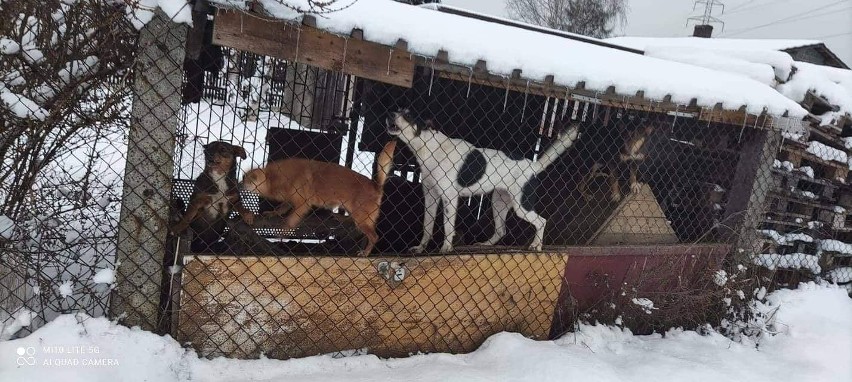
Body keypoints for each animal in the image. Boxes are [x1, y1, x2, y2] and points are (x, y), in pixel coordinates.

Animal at [241, 140, 398, 256]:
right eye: (243, 177)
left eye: (247, 180)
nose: (238, 185)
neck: (274, 177)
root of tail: (376, 185)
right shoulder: (289, 201)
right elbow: (281, 208)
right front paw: (273, 213)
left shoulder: (302, 204)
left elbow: (291, 219)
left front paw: (285, 230)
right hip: (355, 212)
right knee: (352, 221)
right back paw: (339, 217)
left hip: (361, 218)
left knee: (374, 236)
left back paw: (365, 252)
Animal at [386, 109, 580, 255]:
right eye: (399, 110)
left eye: (408, 115)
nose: (390, 114)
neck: (429, 148)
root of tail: (533, 165)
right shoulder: (430, 196)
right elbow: (427, 226)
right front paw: (420, 248)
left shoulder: (449, 197)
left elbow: (448, 227)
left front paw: (446, 248)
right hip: (498, 202)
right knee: (501, 230)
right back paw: (485, 245)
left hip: (521, 205)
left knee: (541, 221)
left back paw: (536, 245)